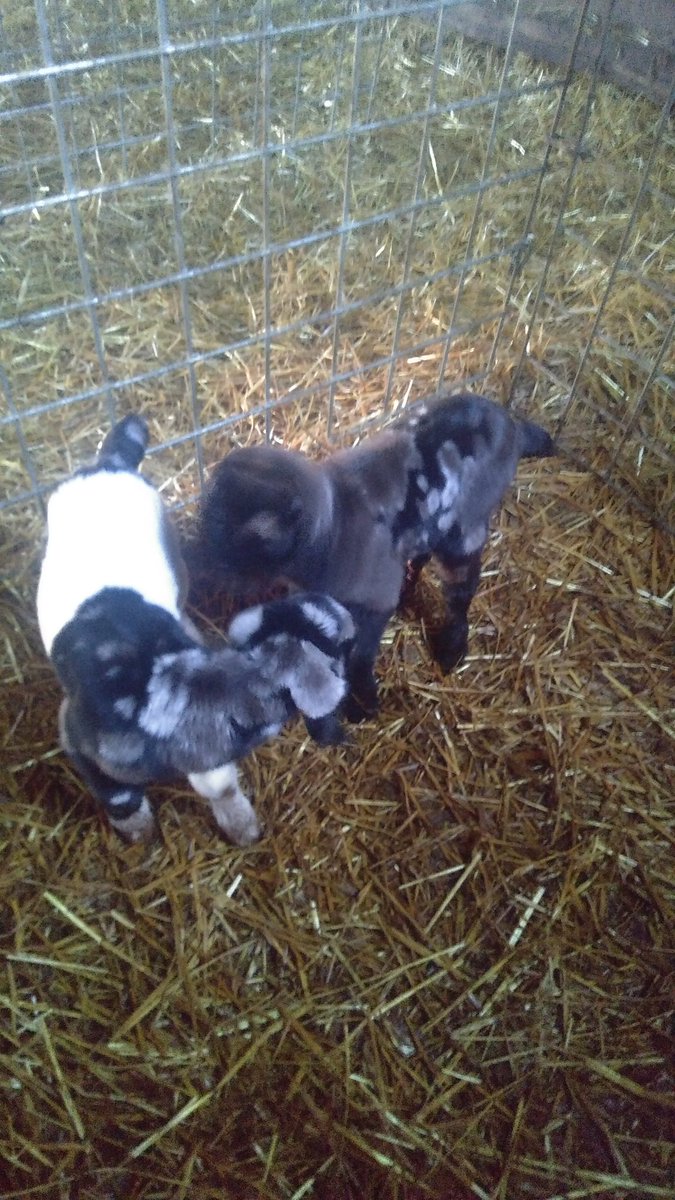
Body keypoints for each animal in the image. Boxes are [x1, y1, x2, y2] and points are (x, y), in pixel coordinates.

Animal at [36, 415, 353, 843]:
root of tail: (109, 463)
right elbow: (117, 793)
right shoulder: (75, 734)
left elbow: (219, 785)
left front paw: (242, 827)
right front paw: (138, 831)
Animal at [198, 392, 555, 719]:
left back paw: (452, 648)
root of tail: (508, 421)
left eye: (243, 540)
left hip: (465, 532)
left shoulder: (377, 599)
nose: (203, 567)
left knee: (461, 592)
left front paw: (363, 700)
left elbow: (361, 652)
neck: (335, 526)